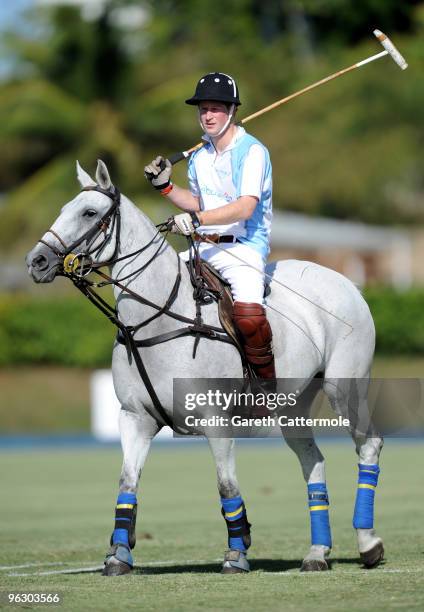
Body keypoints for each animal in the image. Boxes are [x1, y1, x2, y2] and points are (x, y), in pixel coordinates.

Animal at [25, 161, 384, 572]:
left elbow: (226, 485)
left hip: (345, 387)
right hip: (292, 404)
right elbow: (126, 484)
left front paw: (237, 552)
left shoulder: (216, 420)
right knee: (313, 460)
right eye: (63, 208)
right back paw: (317, 553)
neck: (152, 322)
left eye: (88, 213)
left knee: (369, 444)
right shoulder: (134, 417)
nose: (36, 261)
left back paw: (369, 543)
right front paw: (118, 554)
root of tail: (348, 283)